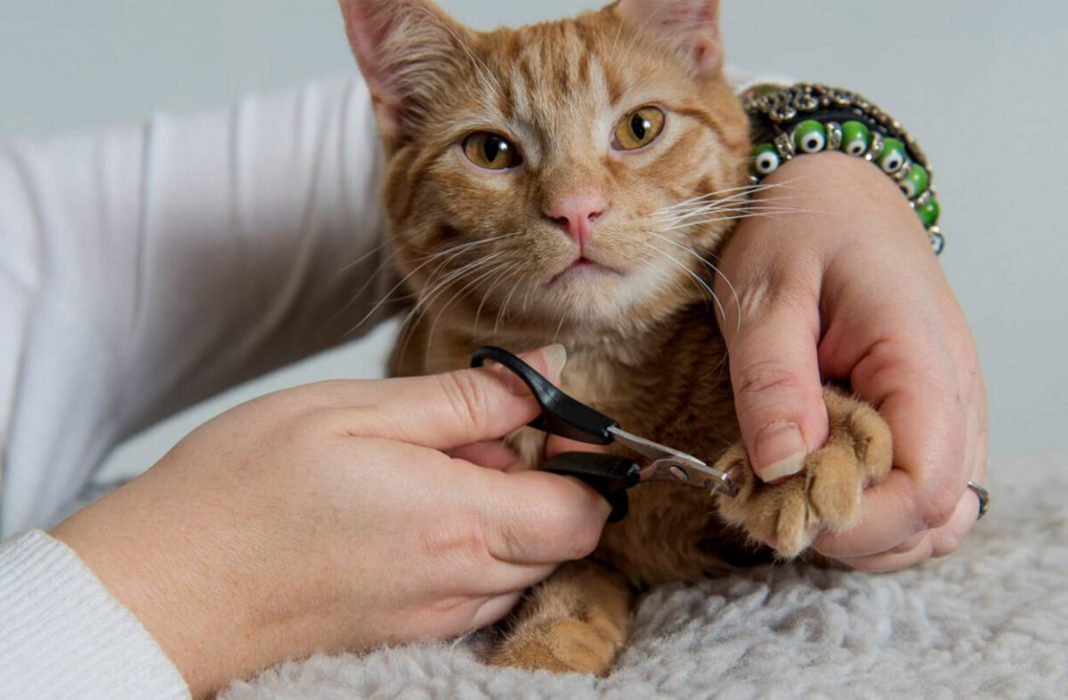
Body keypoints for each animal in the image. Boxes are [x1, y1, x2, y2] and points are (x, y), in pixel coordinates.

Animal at [339, 0, 892, 679]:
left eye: (639, 128)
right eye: (490, 151)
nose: (576, 209)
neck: (598, 376)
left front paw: (815, 451)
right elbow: (573, 584)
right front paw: (545, 650)